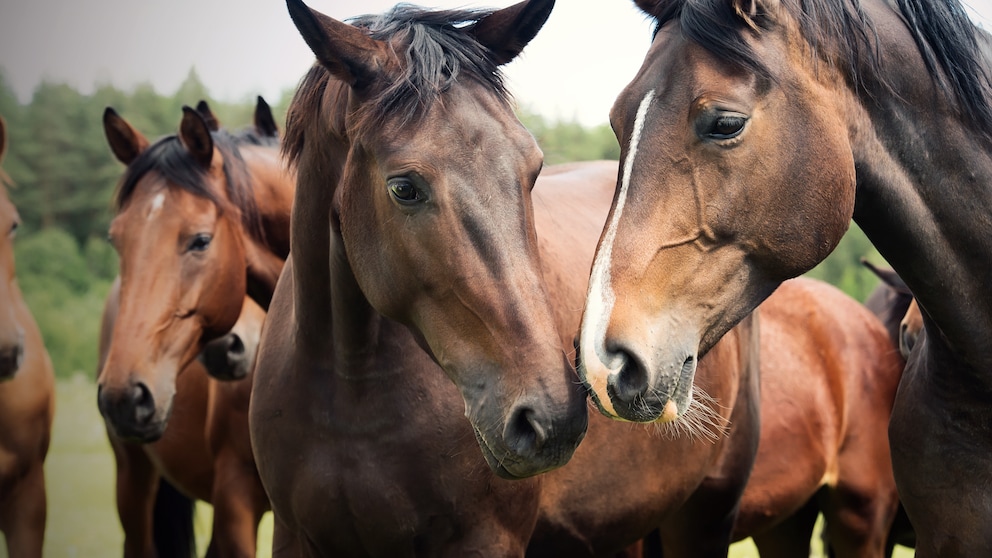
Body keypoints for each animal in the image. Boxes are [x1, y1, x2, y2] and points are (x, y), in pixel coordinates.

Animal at [252, 2, 764, 556]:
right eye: (404, 188)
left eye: (533, 169)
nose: (551, 419)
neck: (352, 397)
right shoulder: (292, 536)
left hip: (706, 515)